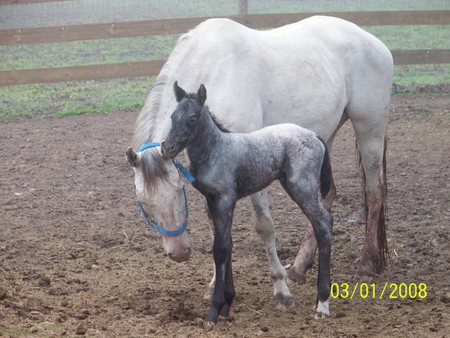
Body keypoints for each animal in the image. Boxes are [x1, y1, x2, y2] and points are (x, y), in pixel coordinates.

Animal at [125, 16, 390, 308]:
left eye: (177, 192)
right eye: (143, 202)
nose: (180, 252)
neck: (215, 71)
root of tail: (373, 41)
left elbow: (264, 226)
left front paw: (280, 290)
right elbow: (217, 229)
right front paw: (215, 286)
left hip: (370, 129)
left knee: (375, 192)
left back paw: (366, 264)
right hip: (323, 138)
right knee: (327, 197)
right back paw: (299, 267)